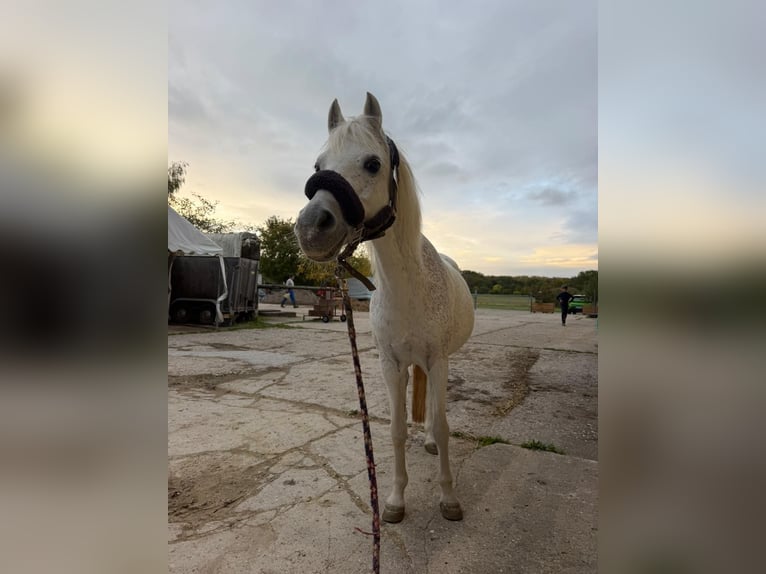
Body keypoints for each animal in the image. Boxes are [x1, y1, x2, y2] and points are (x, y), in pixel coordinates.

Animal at [294, 92, 475, 522]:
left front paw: (448, 497)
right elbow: (394, 430)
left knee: (435, 414)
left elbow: (444, 425)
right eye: (318, 166)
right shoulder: (391, 364)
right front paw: (394, 500)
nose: (310, 227)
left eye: (373, 164)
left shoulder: (438, 360)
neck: (408, 288)